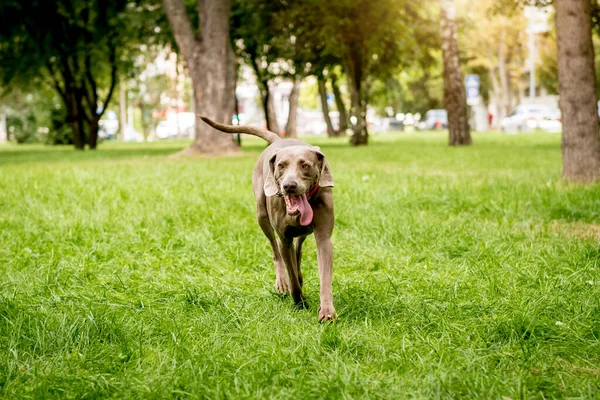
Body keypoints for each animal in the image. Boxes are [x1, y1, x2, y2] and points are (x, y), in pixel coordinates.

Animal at [199, 115, 336, 322]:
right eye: (281, 166)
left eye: (305, 165)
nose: (289, 186)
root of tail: (278, 140)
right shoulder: (283, 238)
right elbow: (290, 273)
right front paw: (299, 301)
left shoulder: (323, 239)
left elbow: (324, 275)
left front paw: (327, 310)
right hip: (261, 215)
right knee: (276, 251)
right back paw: (282, 282)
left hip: (303, 230)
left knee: (299, 248)